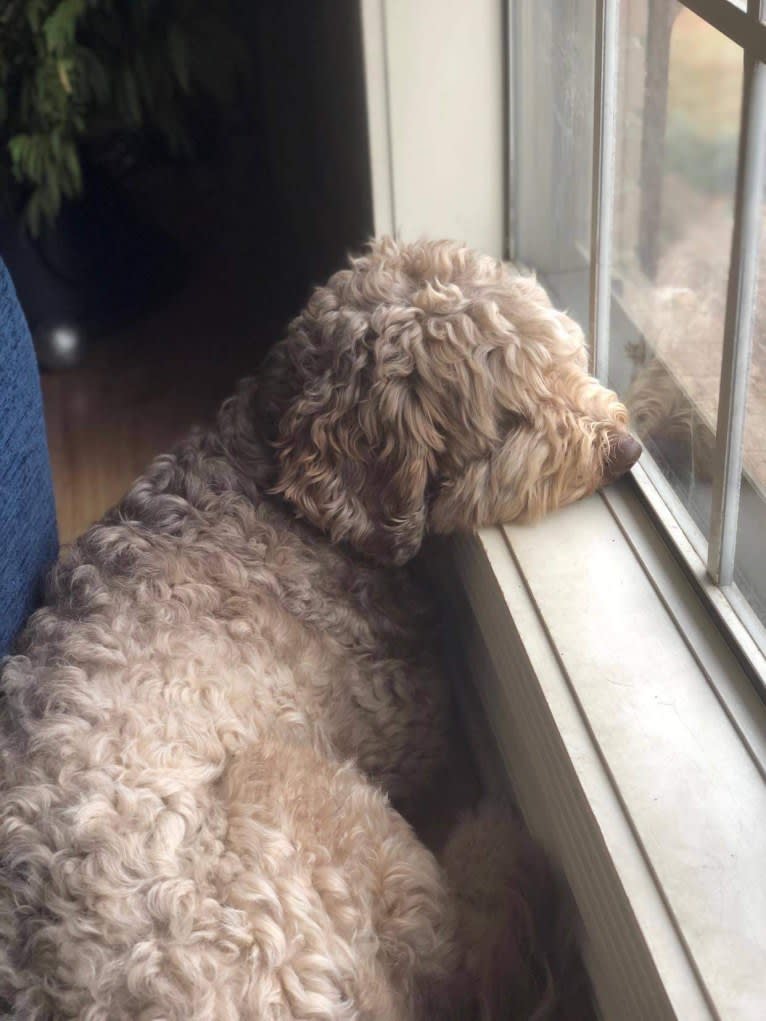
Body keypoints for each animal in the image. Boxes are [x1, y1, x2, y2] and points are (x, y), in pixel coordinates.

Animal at [0, 236, 637, 1012]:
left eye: (566, 358)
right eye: (512, 415)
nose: (627, 448)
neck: (275, 490)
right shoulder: (404, 727)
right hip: (301, 789)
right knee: (456, 960)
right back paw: (497, 854)